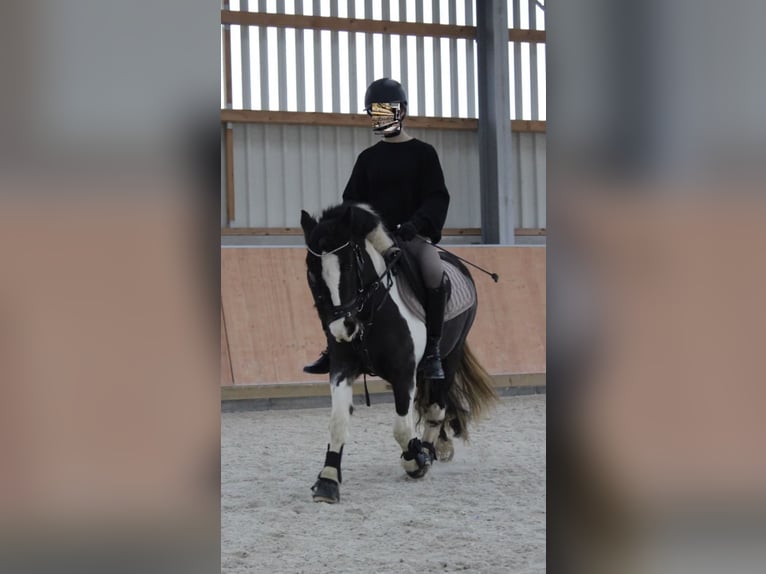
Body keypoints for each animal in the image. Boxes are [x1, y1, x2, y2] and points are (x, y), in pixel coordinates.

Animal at [300, 202, 498, 504]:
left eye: (349, 265)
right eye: (311, 271)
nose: (342, 328)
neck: (370, 314)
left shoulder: (404, 373)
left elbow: (401, 428)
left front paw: (416, 460)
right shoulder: (342, 367)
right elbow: (338, 420)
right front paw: (328, 481)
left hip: (449, 357)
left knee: (437, 406)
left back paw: (428, 450)